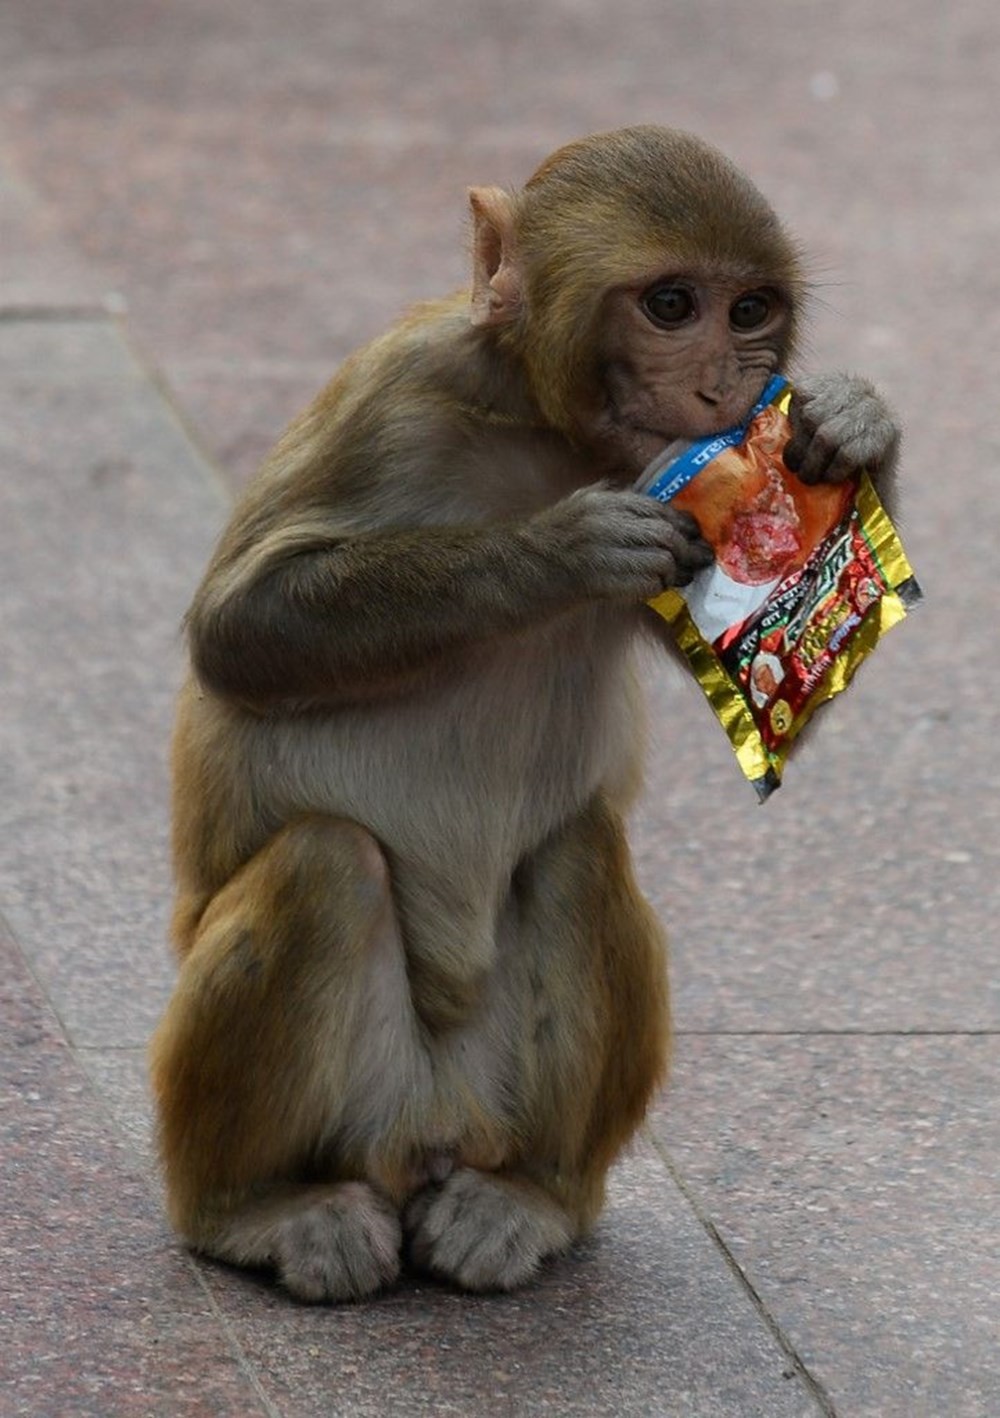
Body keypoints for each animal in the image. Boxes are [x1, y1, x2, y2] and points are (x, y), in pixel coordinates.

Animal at [150, 127, 907, 1298]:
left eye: (751, 310)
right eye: (673, 303)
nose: (730, 385)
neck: (543, 430)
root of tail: (422, 1131)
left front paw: (852, 424)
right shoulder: (390, 391)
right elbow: (240, 628)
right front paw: (550, 553)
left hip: (496, 1108)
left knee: (578, 852)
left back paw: (526, 1198)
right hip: (330, 1109)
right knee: (324, 864)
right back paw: (258, 1208)